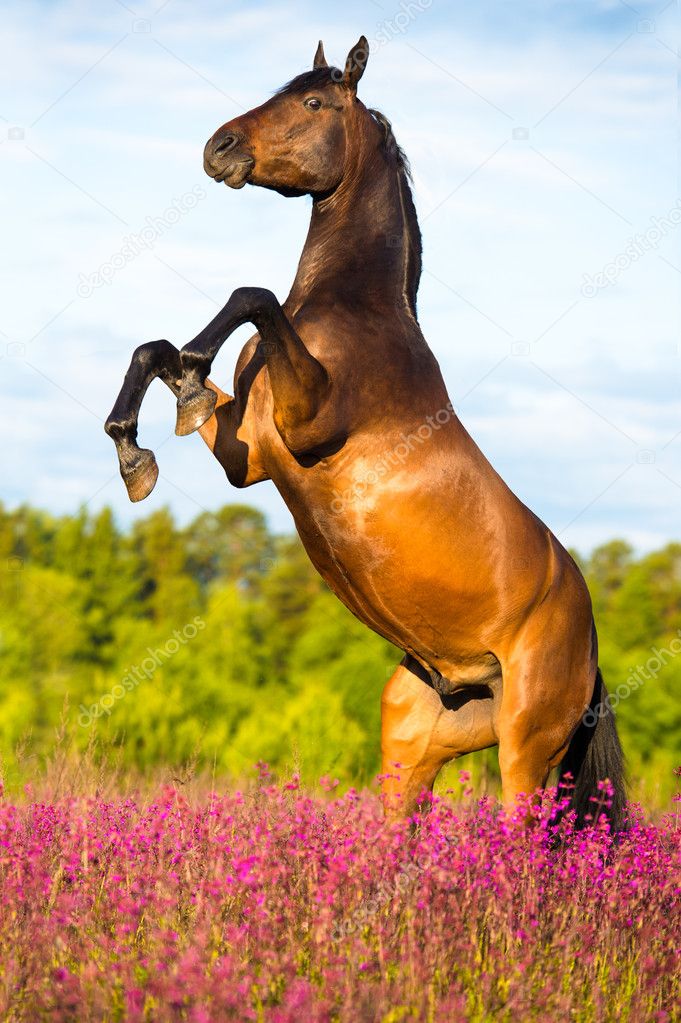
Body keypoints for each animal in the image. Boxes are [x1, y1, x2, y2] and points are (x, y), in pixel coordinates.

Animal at [105, 37, 626, 830]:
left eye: (314, 101)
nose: (218, 147)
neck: (356, 312)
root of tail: (592, 654)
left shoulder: (305, 424)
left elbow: (248, 295)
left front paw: (190, 374)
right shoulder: (250, 458)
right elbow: (154, 351)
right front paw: (136, 446)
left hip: (525, 750)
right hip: (411, 742)